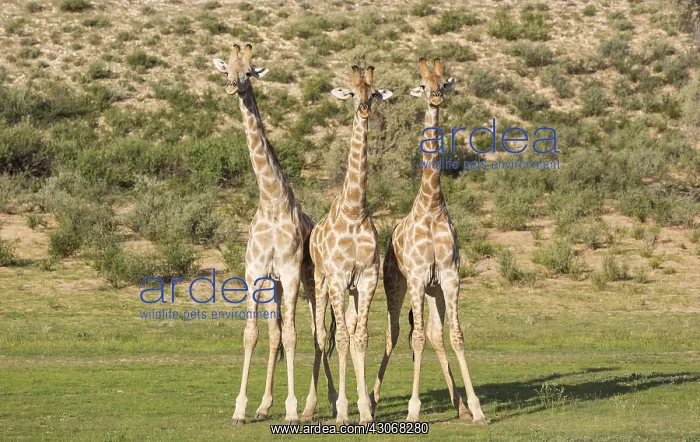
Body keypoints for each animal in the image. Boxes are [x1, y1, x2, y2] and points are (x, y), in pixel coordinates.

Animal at [213, 44, 336, 425]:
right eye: (227, 70)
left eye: (250, 72)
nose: (233, 86)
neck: (271, 201)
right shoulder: (256, 273)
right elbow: (254, 334)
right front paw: (242, 409)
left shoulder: (292, 273)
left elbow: (295, 337)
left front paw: (292, 409)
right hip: (277, 286)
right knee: (276, 333)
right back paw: (266, 404)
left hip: (313, 284)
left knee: (317, 333)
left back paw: (318, 404)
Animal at [369, 58, 487, 424]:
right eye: (422, 84)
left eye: (444, 82)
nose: (435, 97)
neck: (432, 204)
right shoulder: (418, 278)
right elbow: (417, 339)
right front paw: (413, 409)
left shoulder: (449, 277)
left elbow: (456, 336)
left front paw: (476, 408)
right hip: (395, 284)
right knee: (394, 334)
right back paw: (372, 400)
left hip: (435, 291)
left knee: (436, 334)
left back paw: (459, 404)